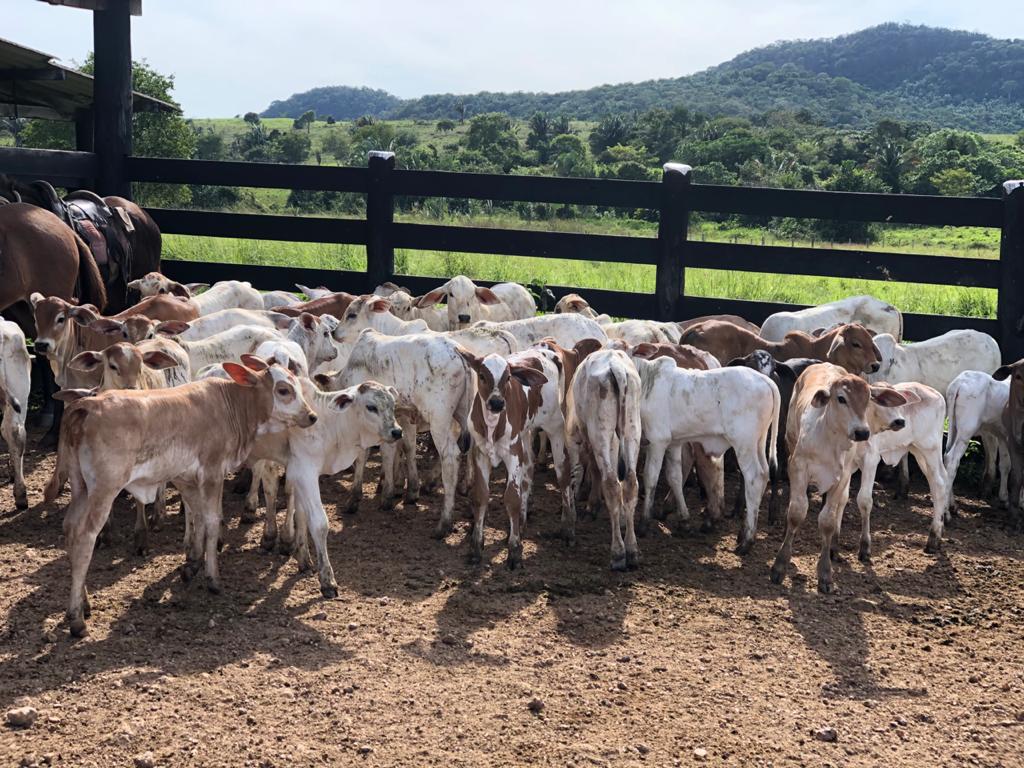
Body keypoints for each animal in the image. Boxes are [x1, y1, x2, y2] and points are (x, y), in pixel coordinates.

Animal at [51, 356, 317, 637]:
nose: (312, 416)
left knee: (70, 529)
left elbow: (197, 516)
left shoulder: (186, 477)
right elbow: (211, 520)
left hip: (80, 487)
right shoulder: (212, 471)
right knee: (85, 538)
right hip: (103, 489)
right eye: (284, 390)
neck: (230, 405)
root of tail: (86, 406)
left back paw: (84, 603)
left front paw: (192, 564)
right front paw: (213, 578)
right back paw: (77, 619)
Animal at [565, 349, 642, 570]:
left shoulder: (572, 438)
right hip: (631, 430)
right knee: (630, 483)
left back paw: (618, 553)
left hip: (602, 433)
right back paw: (632, 550)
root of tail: (615, 365)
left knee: (612, 484)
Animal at [633, 357, 780, 553]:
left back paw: (747, 541)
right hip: (758, 442)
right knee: (764, 475)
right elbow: (675, 477)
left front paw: (643, 524)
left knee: (755, 478)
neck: (646, 382)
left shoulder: (657, 441)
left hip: (744, 444)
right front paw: (684, 521)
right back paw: (743, 533)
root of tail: (766, 380)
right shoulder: (674, 444)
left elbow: (650, 478)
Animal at [770, 363, 909, 594]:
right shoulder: (797, 467)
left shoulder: (843, 476)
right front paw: (779, 566)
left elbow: (828, 519)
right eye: (841, 398)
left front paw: (825, 573)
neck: (829, 437)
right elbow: (796, 513)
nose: (862, 432)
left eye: (868, 398)